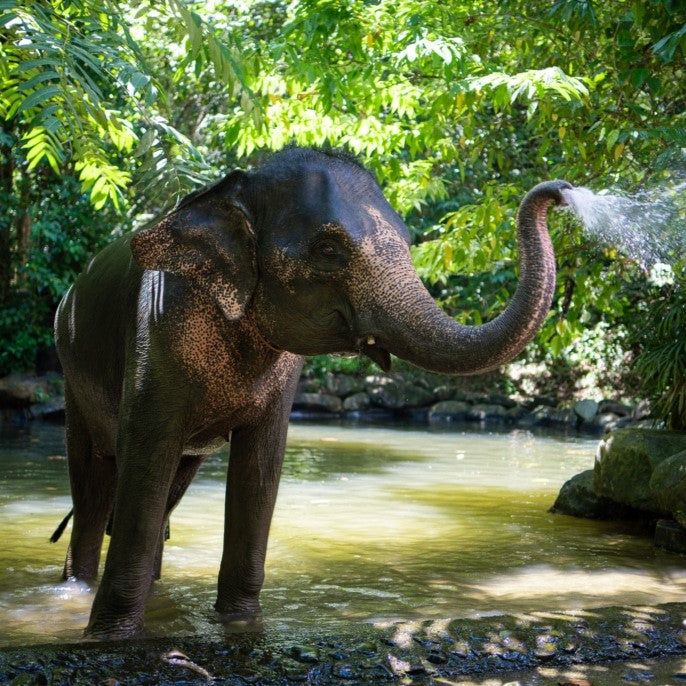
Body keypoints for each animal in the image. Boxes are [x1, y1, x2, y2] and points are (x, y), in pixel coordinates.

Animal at [53, 146, 572, 640]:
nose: (562, 190)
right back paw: (75, 588)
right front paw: (110, 639)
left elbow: (260, 468)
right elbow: (148, 457)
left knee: (164, 492)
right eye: (327, 249)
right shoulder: (157, 329)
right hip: (71, 372)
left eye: (408, 243)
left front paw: (242, 627)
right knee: (94, 489)